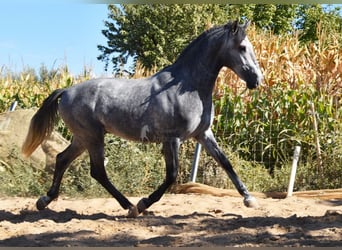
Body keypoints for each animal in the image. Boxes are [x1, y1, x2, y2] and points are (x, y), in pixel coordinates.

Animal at [22, 20, 262, 218]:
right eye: (242, 47)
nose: (257, 80)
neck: (187, 87)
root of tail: (66, 91)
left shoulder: (203, 134)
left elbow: (226, 163)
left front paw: (249, 199)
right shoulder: (172, 139)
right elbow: (172, 175)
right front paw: (144, 202)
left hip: (82, 138)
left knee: (62, 159)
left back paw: (44, 200)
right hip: (93, 137)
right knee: (97, 171)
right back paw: (130, 207)